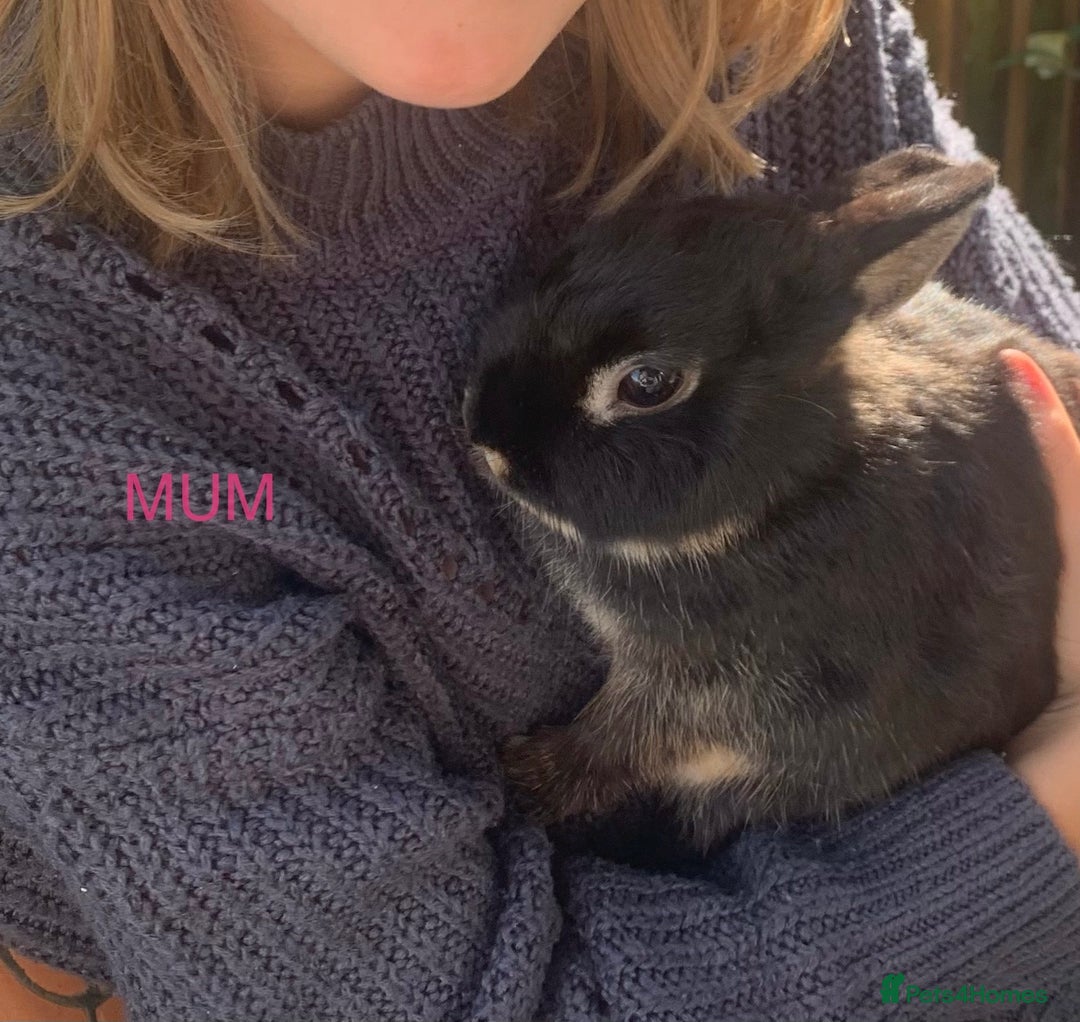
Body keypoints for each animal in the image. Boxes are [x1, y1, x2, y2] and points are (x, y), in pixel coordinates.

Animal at [461, 146, 1080, 855]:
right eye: (571, 252)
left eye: (647, 383)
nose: (487, 439)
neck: (788, 487)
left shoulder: (714, 689)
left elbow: (624, 739)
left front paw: (531, 778)